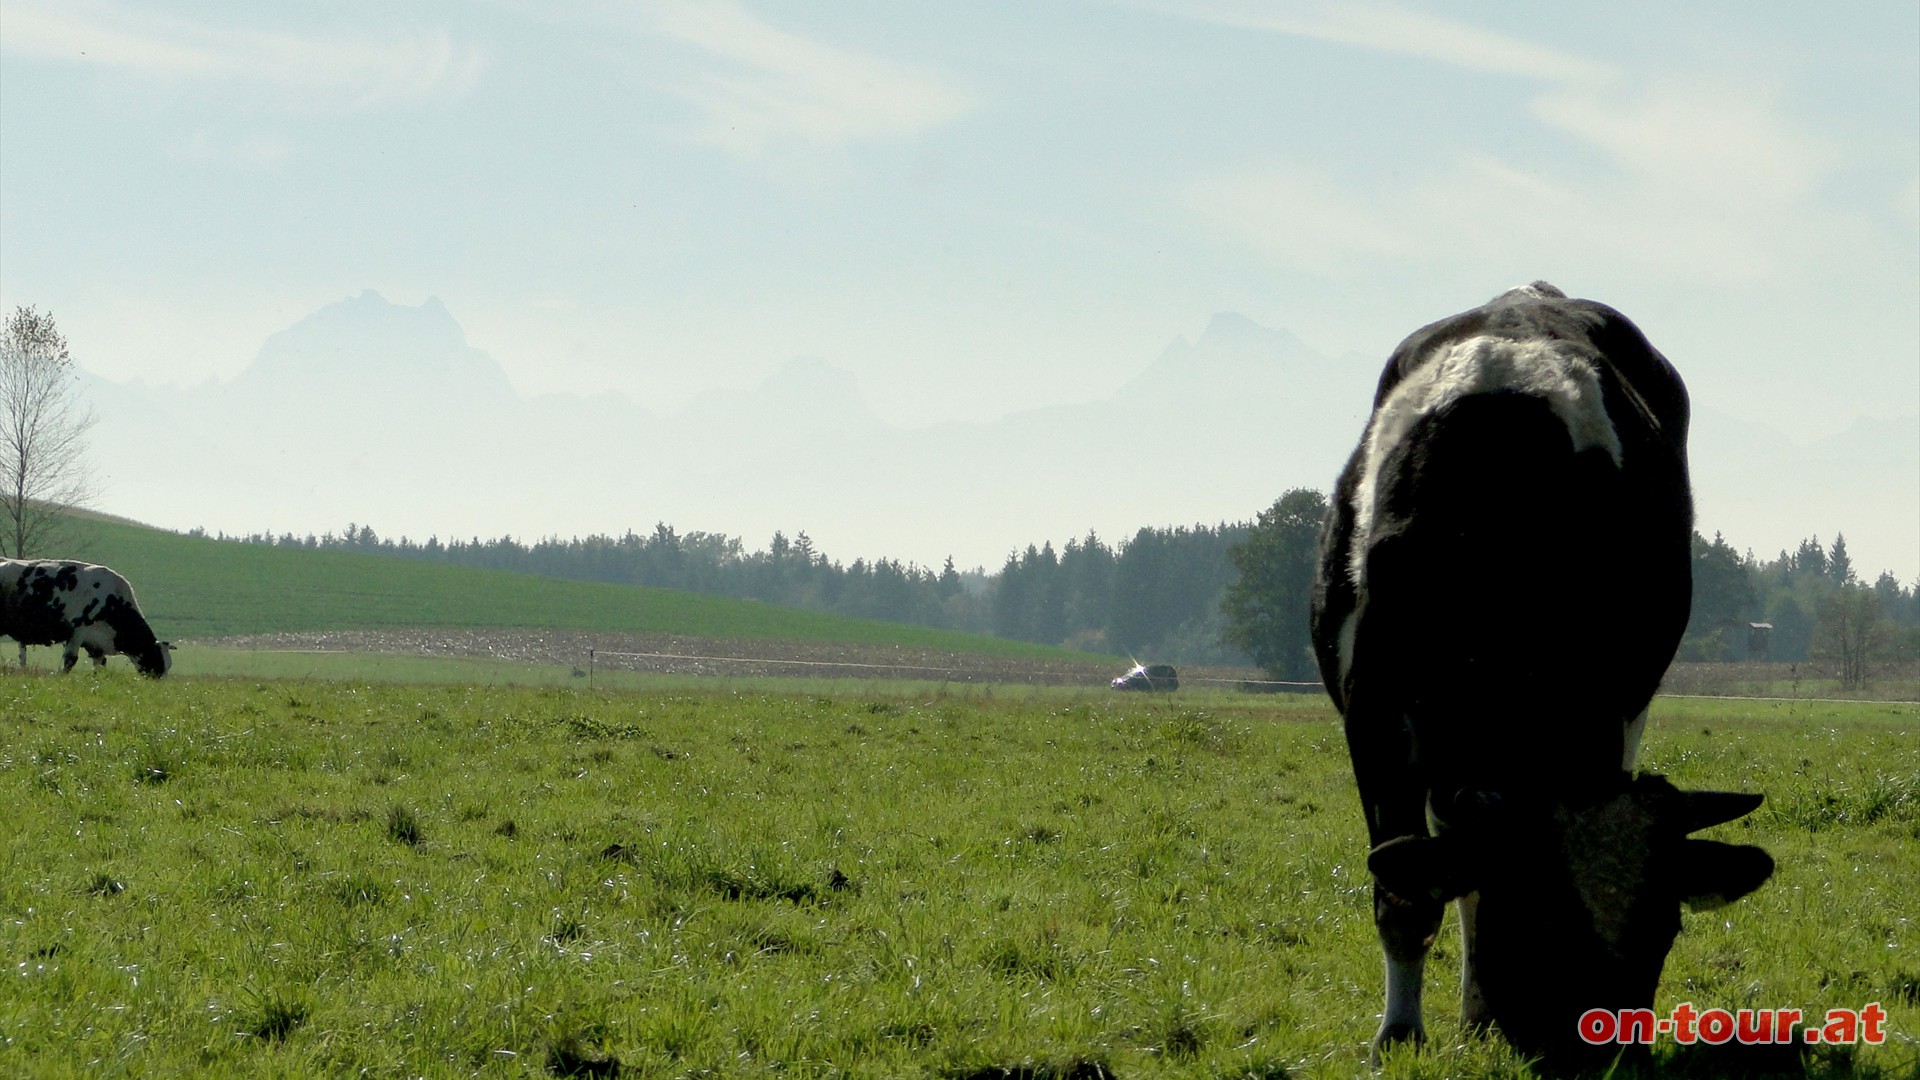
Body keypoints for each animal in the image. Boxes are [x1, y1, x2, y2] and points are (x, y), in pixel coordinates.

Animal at [0, 553, 174, 672]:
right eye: (158, 660)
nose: (157, 684)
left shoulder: (96, 644)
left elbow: (100, 664)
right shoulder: (78, 630)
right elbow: (70, 660)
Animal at [1313, 282, 1774, 1060]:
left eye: (1665, 928)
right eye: (1540, 920)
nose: (1608, 1054)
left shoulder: (1613, 705)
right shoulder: (1375, 711)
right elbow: (1408, 890)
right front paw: (1399, 1035)